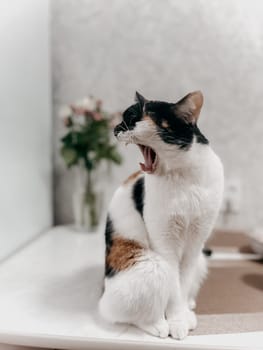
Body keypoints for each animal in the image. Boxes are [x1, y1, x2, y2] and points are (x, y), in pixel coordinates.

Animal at [99, 90, 225, 340]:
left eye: (132, 117)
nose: (115, 128)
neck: (183, 177)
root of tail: (102, 292)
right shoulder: (165, 244)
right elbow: (174, 291)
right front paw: (176, 322)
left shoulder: (195, 243)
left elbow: (183, 285)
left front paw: (183, 315)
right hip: (151, 267)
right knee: (128, 314)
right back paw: (158, 325)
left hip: (200, 261)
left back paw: (190, 307)